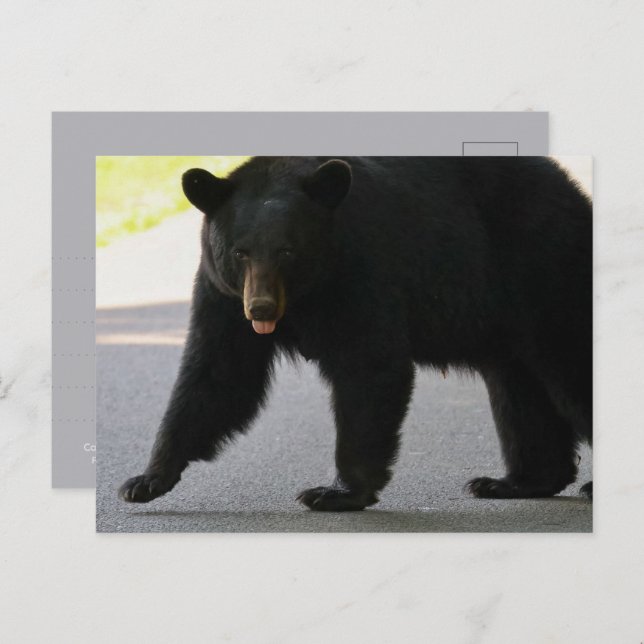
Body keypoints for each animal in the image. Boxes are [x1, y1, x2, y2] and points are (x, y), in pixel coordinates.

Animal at [119, 156, 592, 511]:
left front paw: (336, 492)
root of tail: (574, 191)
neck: (307, 293)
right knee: (518, 388)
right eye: (240, 251)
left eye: (287, 250)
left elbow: (368, 365)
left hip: (545, 269)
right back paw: (517, 481)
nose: (261, 309)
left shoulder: (362, 270)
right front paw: (146, 479)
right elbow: (218, 374)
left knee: (570, 368)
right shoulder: (222, 294)